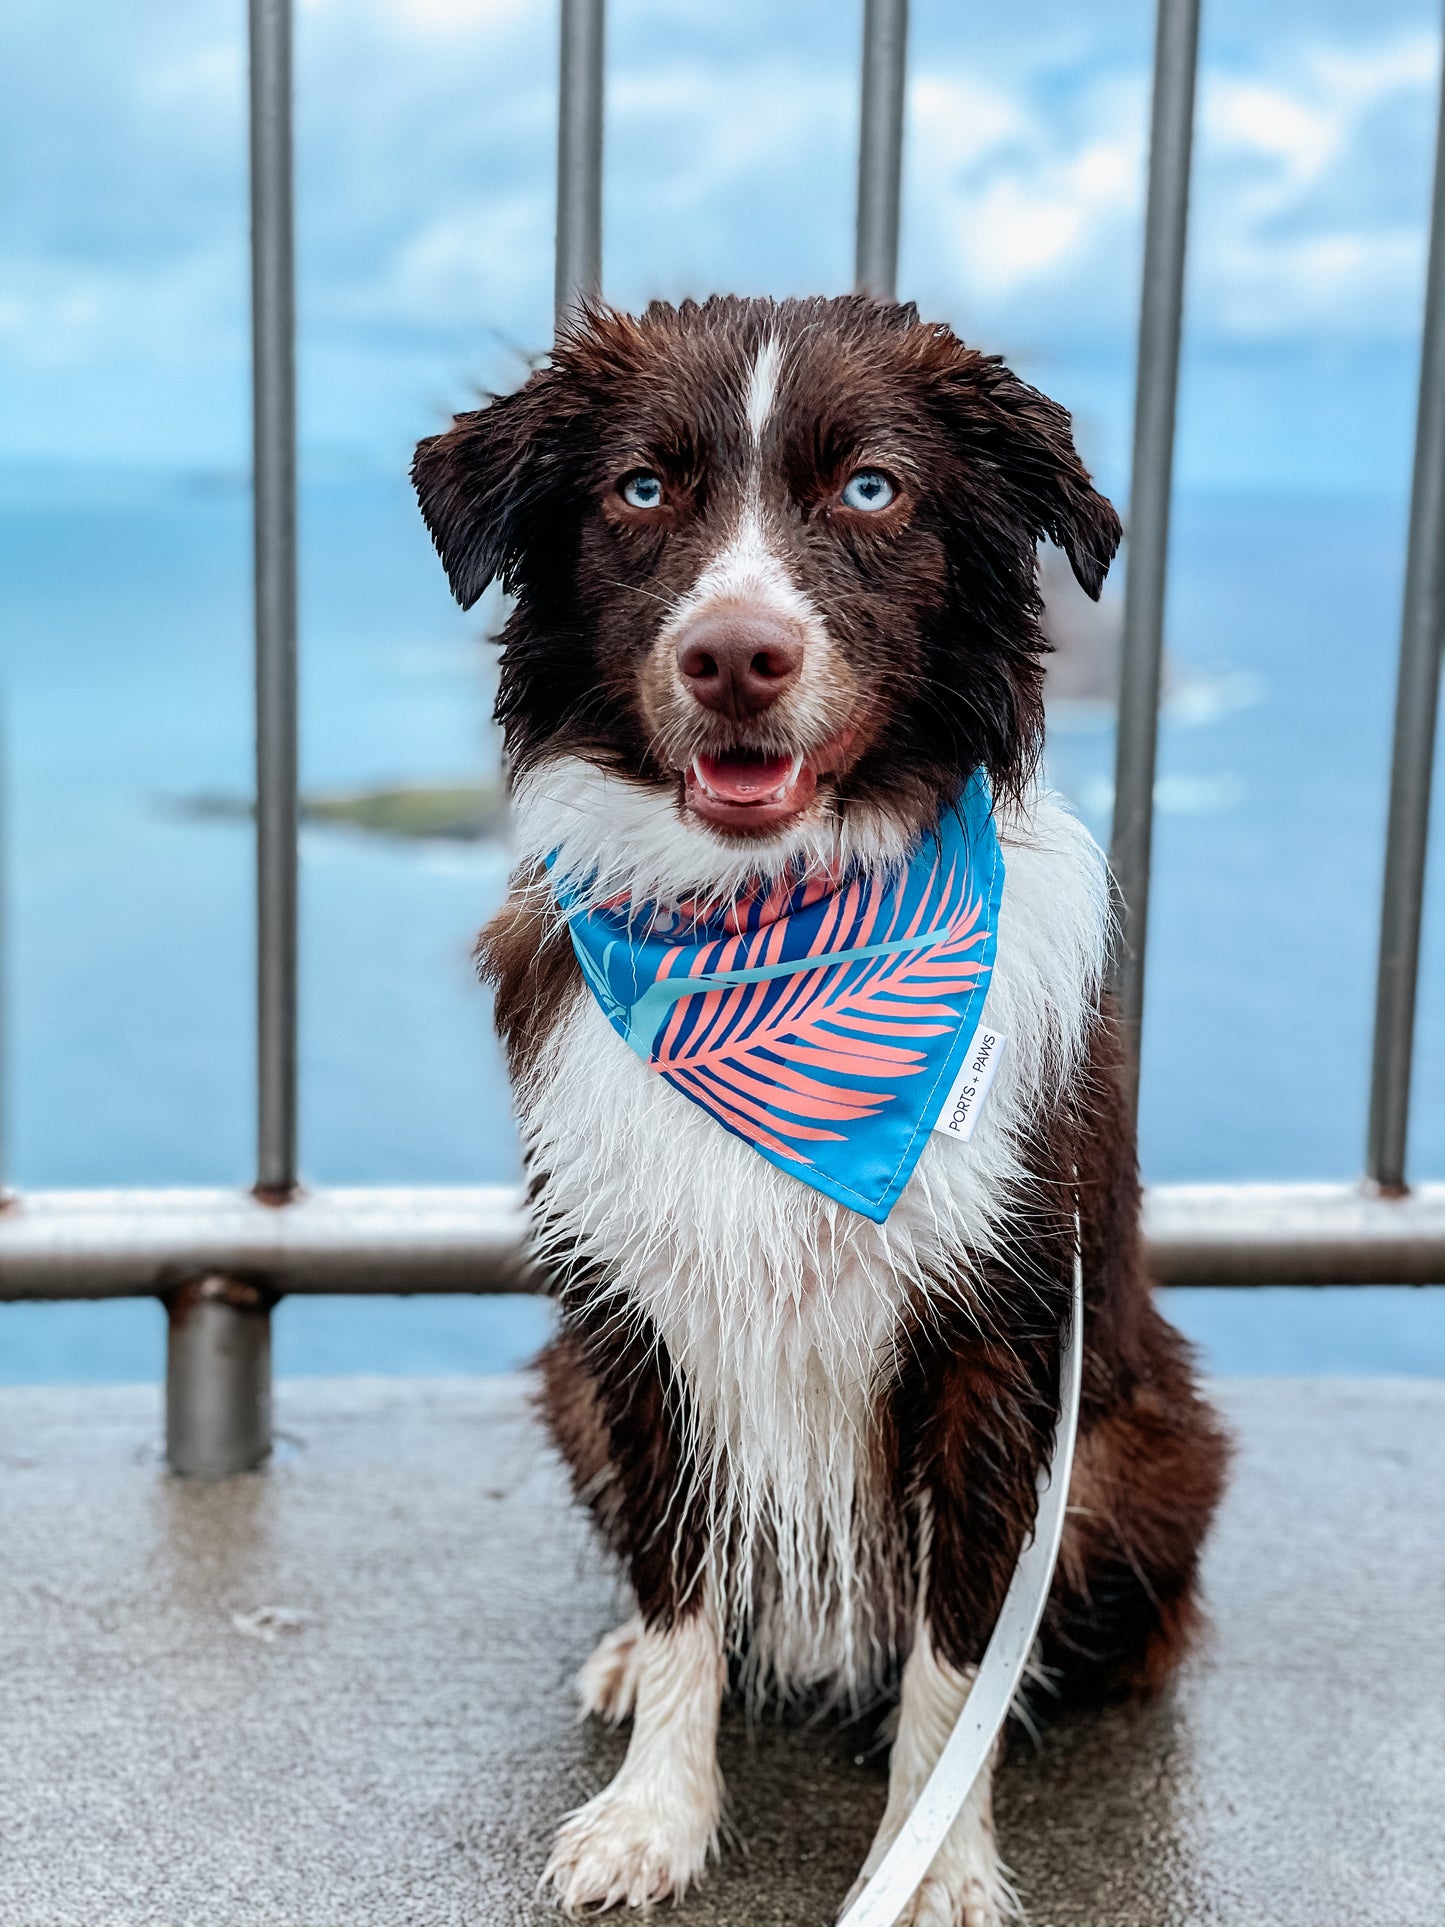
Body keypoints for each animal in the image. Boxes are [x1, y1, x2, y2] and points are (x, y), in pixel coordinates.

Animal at [410, 292, 1233, 1919]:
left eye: (870, 489)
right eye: (639, 490)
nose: (736, 656)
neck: (770, 924)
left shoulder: (998, 1341)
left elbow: (958, 1645)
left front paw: (935, 1851)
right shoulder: (638, 1312)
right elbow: (679, 1584)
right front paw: (655, 1812)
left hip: (1139, 1450)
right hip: (567, 1387)